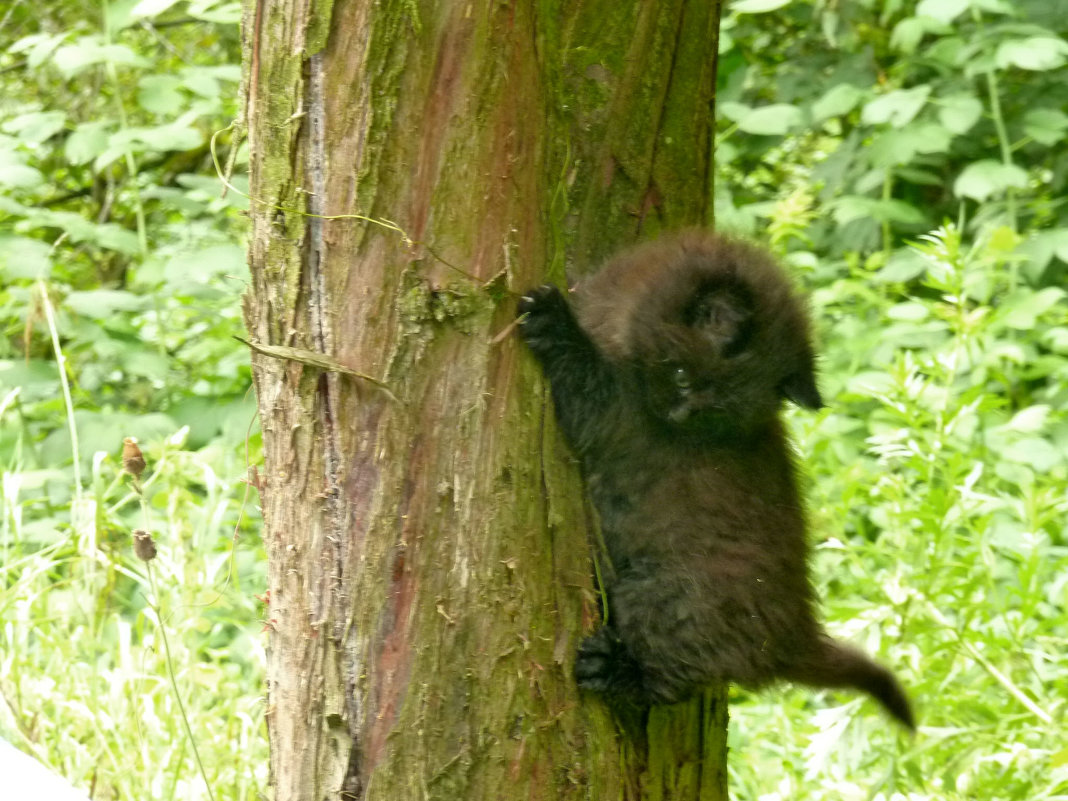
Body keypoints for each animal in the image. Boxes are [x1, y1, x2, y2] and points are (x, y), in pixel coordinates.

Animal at [514, 230, 909, 726]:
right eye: (683, 376)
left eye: (717, 409)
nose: (678, 416)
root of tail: (798, 630)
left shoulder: (614, 414)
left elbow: (586, 377)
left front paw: (554, 321)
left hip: (672, 593)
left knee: (669, 671)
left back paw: (612, 667)